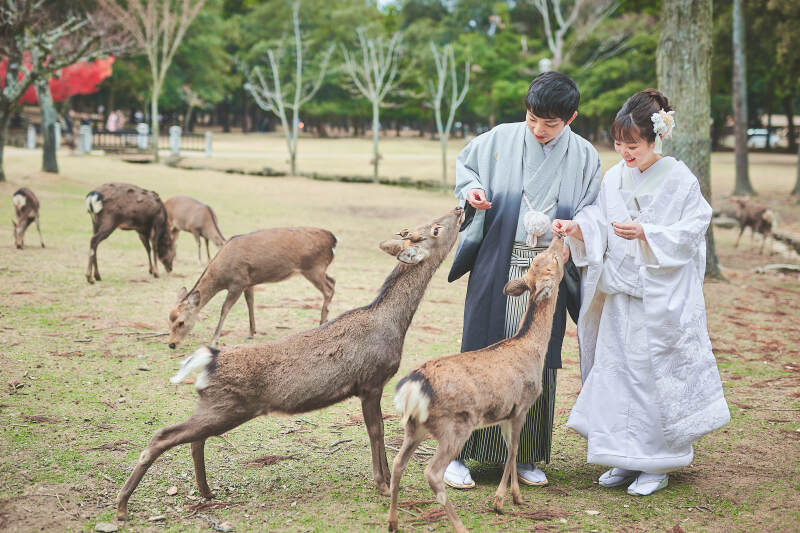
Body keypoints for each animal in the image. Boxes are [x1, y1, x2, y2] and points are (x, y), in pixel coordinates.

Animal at [167, 227, 338, 349]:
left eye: (181, 322)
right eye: (169, 321)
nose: (171, 344)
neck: (221, 277)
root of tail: (333, 240)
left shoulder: (238, 282)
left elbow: (225, 309)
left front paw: (213, 341)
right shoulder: (248, 282)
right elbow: (250, 303)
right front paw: (251, 333)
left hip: (313, 268)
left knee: (328, 290)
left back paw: (322, 322)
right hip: (319, 270)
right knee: (333, 281)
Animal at [387, 236, 566, 533]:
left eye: (543, 260)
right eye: (553, 260)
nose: (560, 237)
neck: (531, 349)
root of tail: (413, 387)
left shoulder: (506, 414)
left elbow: (511, 449)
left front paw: (516, 497)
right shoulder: (522, 406)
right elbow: (513, 450)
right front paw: (501, 501)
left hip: (414, 427)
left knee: (398, 463)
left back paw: (392, 521)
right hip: (455, 426)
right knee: (432, 472)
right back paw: (459, 525)